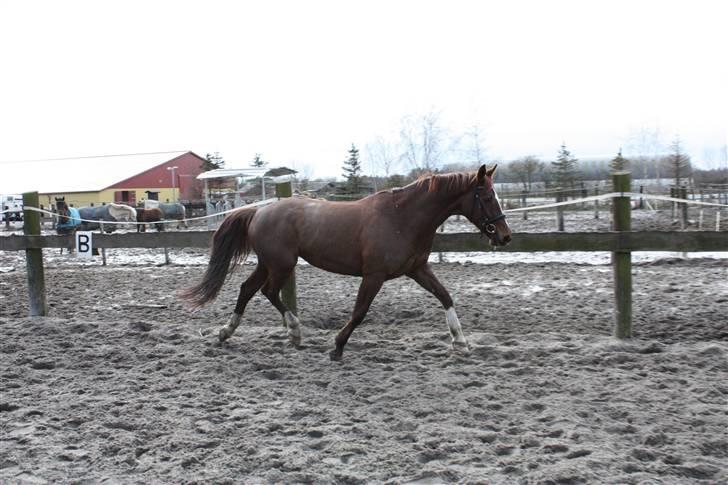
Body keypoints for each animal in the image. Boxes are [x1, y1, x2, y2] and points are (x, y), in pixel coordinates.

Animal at [181, 166, 512, 360]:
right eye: (485, 196)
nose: (505, 236)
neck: (402, 218)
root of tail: (258, 211)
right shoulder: (374, 275)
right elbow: (359, 312)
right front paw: (337, 347)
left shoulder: (417, 269)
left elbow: (445, 296)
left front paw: (460, 342)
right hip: (281, 264)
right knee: (267, 292)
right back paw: (294, 331)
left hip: (269, 263)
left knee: (248, 289)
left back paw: (228, 332)